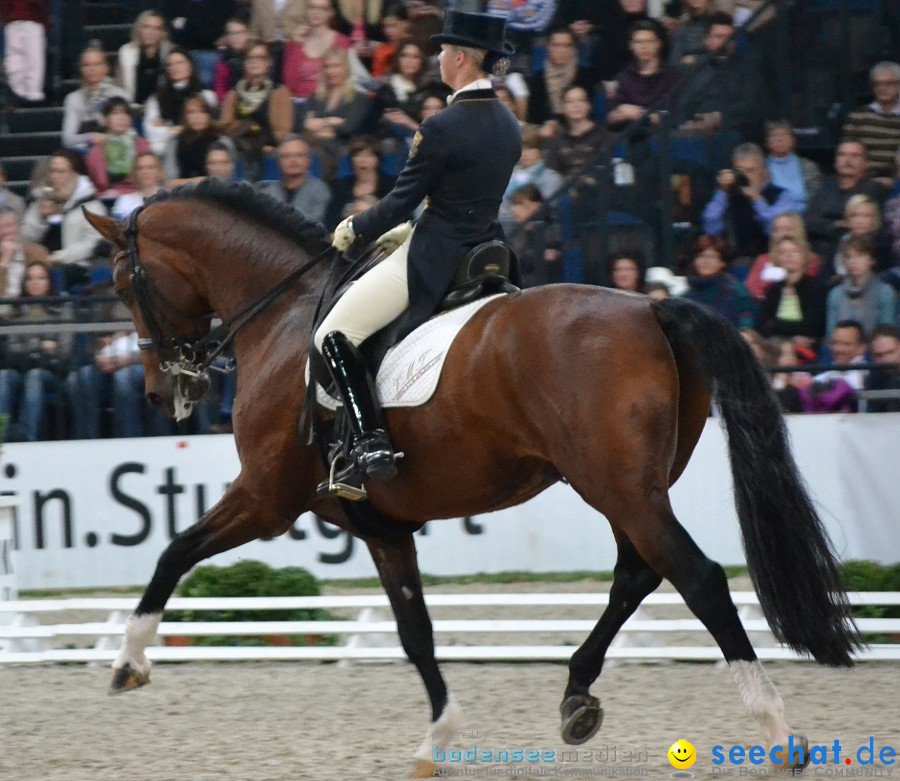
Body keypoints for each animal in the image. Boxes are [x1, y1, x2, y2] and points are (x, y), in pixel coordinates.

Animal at [82, 183, 856, 772]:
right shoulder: (380, 524)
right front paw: (439, 739)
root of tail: (648, 304)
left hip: (619, 486)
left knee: (697, 578)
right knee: (638, 573)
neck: (283, 317)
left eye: (123, 282)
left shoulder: (266, 498)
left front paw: (129, 660)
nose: (162, 393)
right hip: (624, 485)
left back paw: (777, 730)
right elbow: (415, 631)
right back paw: (576, 698)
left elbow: (174, 550)